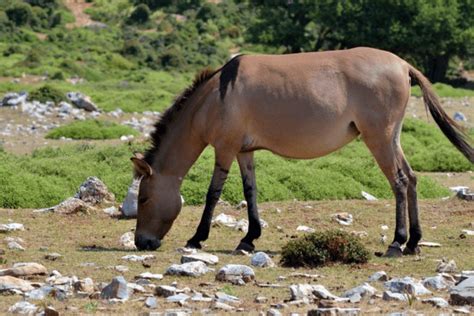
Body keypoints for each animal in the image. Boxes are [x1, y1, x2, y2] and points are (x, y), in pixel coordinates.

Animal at [131, 48, 474, 258]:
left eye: (143, 198)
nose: (141, 243)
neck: (217, 96)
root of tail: (403, 65)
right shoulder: (244, 151)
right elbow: (250, 191)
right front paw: (248, 238)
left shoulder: (225, 149)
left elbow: (213, 193)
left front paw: (197, 238)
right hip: (392, 138)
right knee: (413, 179)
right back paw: (414, 242)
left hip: (379, 138)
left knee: (400, 182)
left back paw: (397, 242)